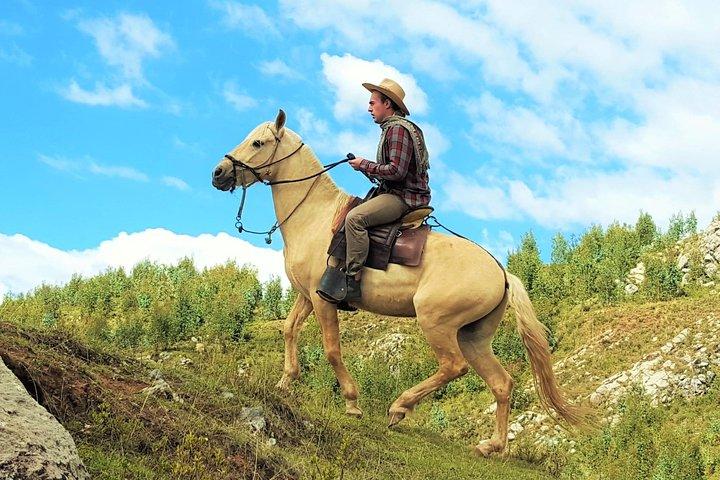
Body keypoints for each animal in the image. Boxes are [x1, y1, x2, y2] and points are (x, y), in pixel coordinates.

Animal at [211, 110, 586, 456]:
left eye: (258, 143)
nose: (219, 173)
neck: (314, 217)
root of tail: (502, 272)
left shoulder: (323, 299)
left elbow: (332, 350)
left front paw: (352, 402)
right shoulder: (307, 296)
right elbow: (289, 330)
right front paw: (285, 382)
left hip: (437, 323)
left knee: (453, 367)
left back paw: (399, 408)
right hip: (473, 337)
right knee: (501, 383)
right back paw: (490, 446)